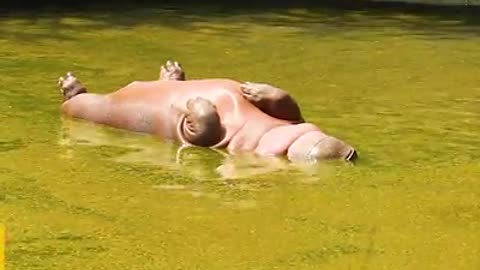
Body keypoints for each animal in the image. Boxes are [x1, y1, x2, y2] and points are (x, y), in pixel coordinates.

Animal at [58, 59, 358, 162]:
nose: (350, 152)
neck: (266, 132)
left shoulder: (202, 139)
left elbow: (202, 126)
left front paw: (193, 102)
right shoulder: (294, 118)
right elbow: (287, 100)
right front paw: (251, 90)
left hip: (88, 107)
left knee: (77, 99)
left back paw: (70, 85)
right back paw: (171, 72)